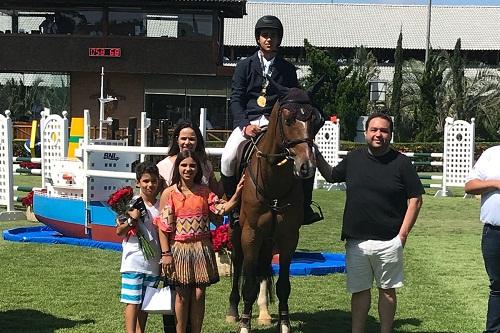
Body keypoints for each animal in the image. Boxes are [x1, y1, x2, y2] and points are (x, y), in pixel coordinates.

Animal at [228, 85, 318, 332]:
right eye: (288, 119)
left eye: (316, 120)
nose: (306, 167)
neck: (274, 180)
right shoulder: (251, 234)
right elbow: (248, 282)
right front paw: (245, 324)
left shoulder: (288, 236)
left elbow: (283, 285)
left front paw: (285, 324)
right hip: (237, 230)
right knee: (238, 263)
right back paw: (234, 311)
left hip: (269, 239)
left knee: (264, 267)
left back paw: (264, 313)